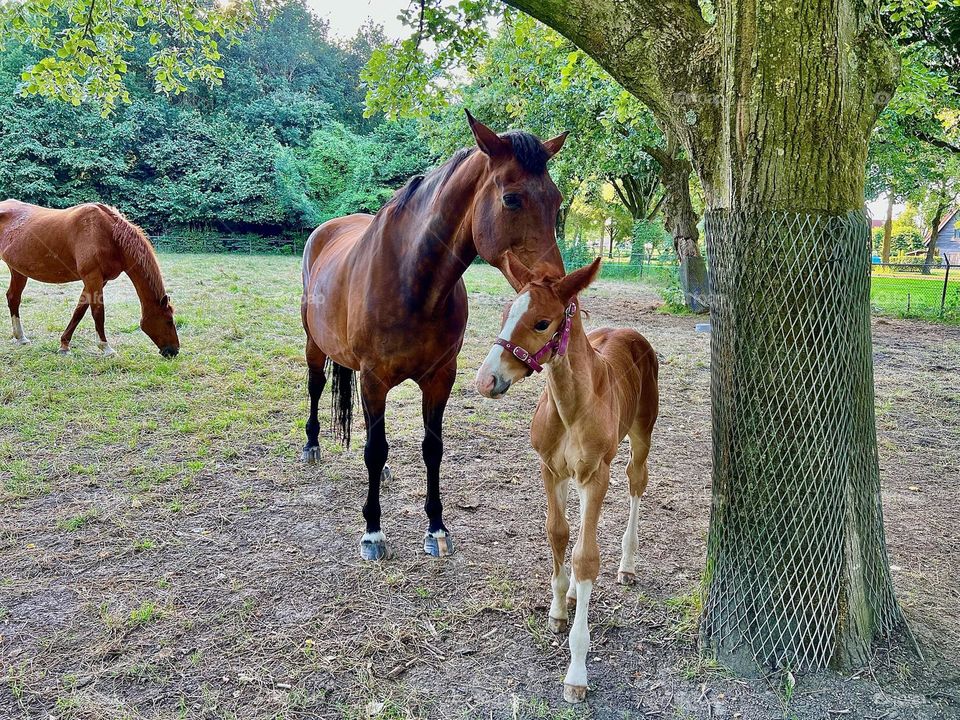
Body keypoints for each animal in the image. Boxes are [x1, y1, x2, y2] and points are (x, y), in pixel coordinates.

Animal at [0, 200, 178, 358]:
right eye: (169, 321)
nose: (174, 351)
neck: (107, 233)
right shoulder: (92, 277)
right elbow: (98, 311)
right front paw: (106, 348)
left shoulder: (99, 280)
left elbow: (80, 309)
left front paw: (64, 345)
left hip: (18, 271)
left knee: (13, 298)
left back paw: (21, 338)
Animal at [304, 114, 568, 564]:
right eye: (512, 199)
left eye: (557, 201)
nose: (556, 289)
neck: (412, 279)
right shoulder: (373, 378)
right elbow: (375, 449)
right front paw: (373, 533)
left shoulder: (440, 377)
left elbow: (432, 449)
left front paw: (436, 528)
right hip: (313, 345)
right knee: (316, 386)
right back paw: (311, 445)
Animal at [474, 252, 660, 704]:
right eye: (505, 313)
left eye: (542, 322)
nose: (486, 381)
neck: (571, 406)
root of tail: (631, 332)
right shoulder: (550, 469)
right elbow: (558, 534)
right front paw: (559, 609)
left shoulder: (596, 474)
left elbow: (586, 556)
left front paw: (576, 673)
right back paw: (575, 591)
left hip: (639, 438)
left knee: (636, 483)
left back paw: (627, 565)